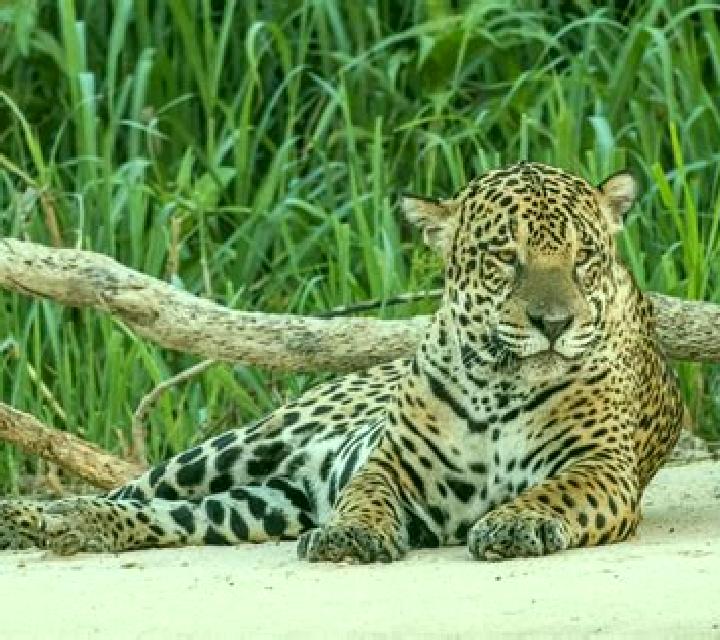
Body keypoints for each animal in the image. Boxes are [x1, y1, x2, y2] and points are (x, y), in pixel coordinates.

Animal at [0, 161, 685, 562]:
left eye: (584, 258)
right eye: (504, 257)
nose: (555, 324)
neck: (499, 384)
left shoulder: (602, 468)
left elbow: (553, 492)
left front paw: (514, 524)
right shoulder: (392, 461)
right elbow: (365, 494)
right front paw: (349, 533)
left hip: (259, 504)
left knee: (164, 516)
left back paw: (71, 526)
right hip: (237, 446)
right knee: (135, 487)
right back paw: (31, 517)